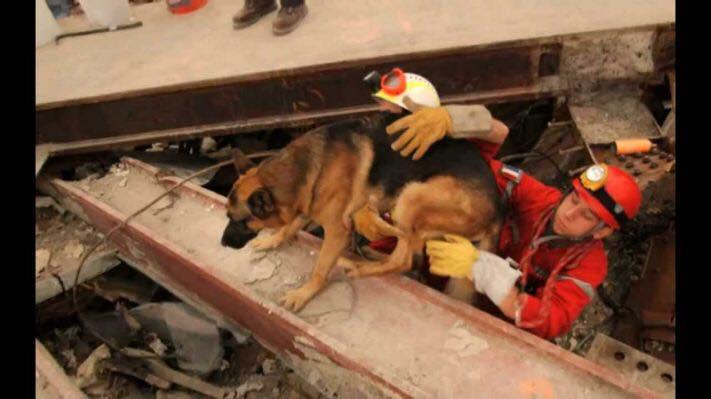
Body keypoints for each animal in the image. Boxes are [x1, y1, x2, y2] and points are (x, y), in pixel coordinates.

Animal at [220, 113, 504, 312]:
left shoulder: (336, 229)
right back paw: (368, 253)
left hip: (411, 196)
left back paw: (358, 266)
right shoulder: (307, 204)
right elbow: (290, 226)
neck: (299, 170)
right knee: (412, 256)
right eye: (229, 218)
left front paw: (303, 294)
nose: (222, 243)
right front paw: (272, 240)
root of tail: (498, 213)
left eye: (239, 222)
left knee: (405, 259)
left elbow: (320, 268)